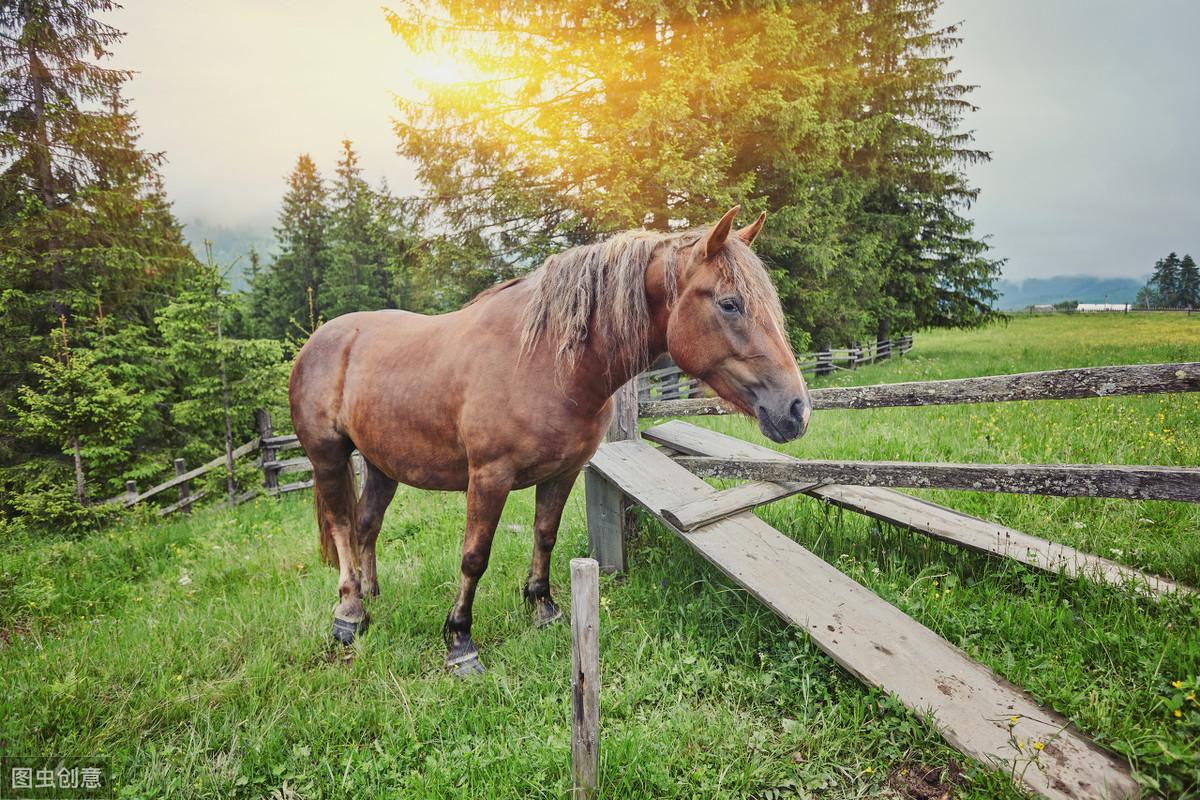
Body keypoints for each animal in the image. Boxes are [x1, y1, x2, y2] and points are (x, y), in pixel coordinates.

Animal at [291, 206, 816, 676]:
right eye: (730, 303)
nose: (796, 409)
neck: (545, 361)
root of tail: (321, 339)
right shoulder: (489, 478)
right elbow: (474, 557)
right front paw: (460, 642)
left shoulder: (564, 471)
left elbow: (545, 535)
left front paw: (543, 608)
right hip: (328, 459)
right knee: (341, 527)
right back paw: (349, 613)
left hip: (382, 464)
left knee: (367, 525)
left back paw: (371, 593)